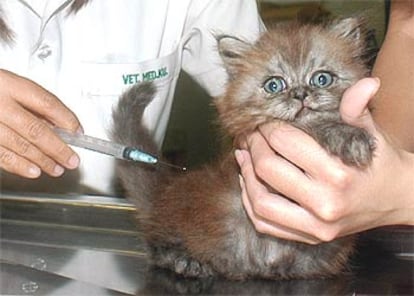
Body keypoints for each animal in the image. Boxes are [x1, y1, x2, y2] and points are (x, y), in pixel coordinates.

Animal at [111, 17, 376, 280]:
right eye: (274, 85)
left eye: (322, 79)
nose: (301, 94)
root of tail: (164, 191)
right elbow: (313, 127)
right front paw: (350, 138)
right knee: (155, 246)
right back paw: (185, 261)